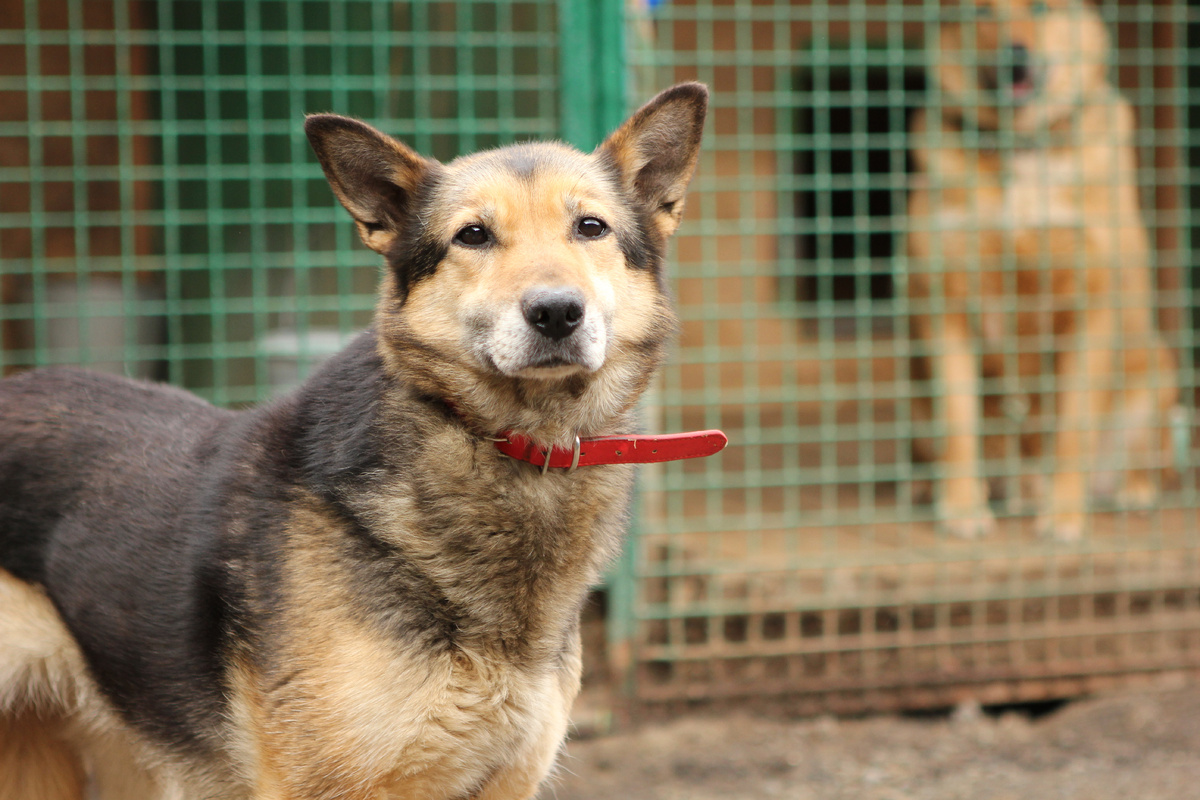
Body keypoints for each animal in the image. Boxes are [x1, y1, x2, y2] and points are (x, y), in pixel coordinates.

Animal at [907, 0, 1171, 542]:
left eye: (1043, 8)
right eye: (981, 13)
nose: (1015, 55)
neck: (1022, 150)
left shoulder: (1091, 308)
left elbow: (1072, 429)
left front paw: (1065, 514)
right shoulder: (945, 307)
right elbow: (958, 423)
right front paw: (961, 507)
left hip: (1156, 367)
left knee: (1139, 454)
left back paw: (1129, 490)